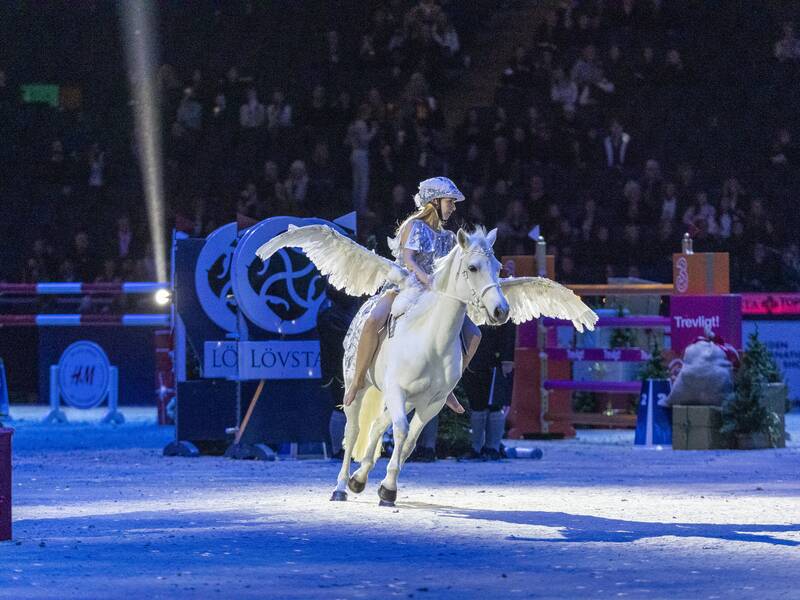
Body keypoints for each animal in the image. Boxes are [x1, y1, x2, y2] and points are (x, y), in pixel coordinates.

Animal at [256, 225, 592, 506]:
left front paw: (386, 487)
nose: (501, 311)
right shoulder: (396, 390)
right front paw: (384, 490)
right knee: (352, 431)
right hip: (358, 387)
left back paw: (358, 479)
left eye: (498, 268)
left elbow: (410, 440)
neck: (430, 341)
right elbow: (401, 432)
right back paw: (340, 486)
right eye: (472, 267)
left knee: (378, 426)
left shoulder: (433, 401)